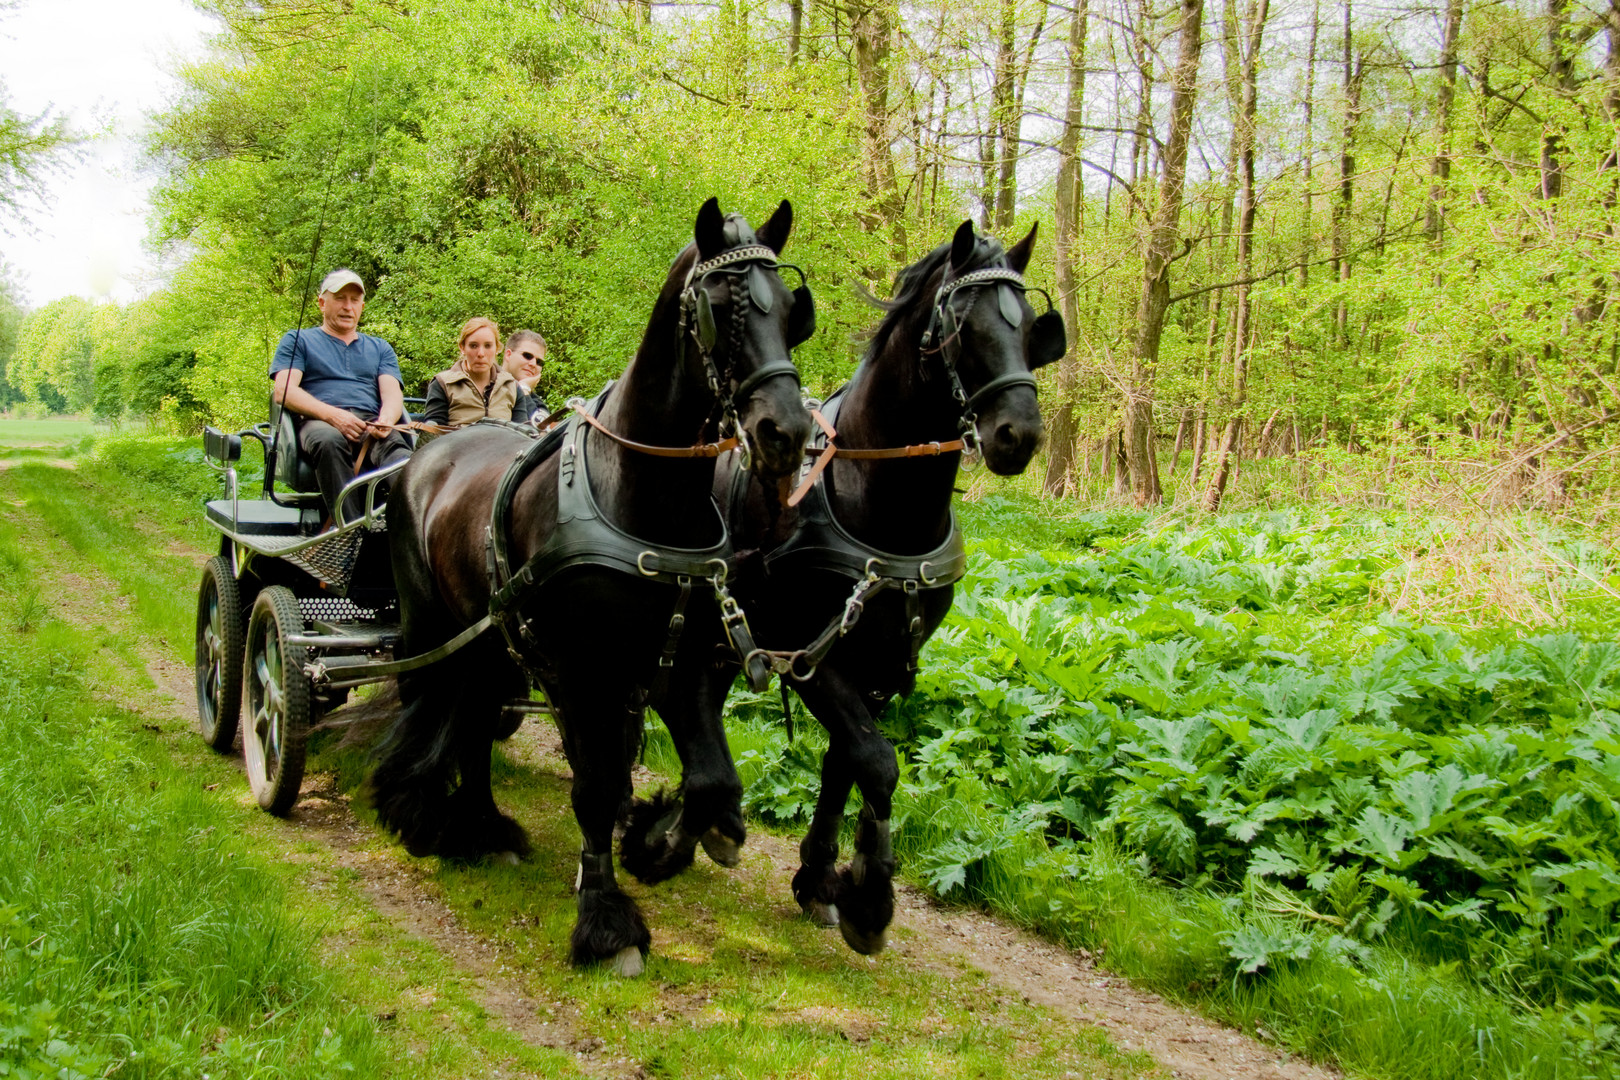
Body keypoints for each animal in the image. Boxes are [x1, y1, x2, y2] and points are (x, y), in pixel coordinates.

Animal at [372, 198, 816, 977]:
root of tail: (431, 452)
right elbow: (596, 785)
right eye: (720, 308)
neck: (642, 492)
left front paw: (656, 845)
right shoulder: (582, 672)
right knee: (430, 702)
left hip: (489, 639)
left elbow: (712, 781)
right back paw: (420, 812)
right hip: (430, 627)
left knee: (475, 720)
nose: (785, 433)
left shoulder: (678, 665)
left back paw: (483, 826)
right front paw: (609, 923)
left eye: (793, 311)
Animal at [657, 220, 1062, 952]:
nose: (1018, 433)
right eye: (961, 325)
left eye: (1030, 329)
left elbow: (845, 760)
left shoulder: (874, 662)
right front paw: (869, 892)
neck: (875, 494)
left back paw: (712, 820)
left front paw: (819, 874)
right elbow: (876, 761)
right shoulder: (809, 654)